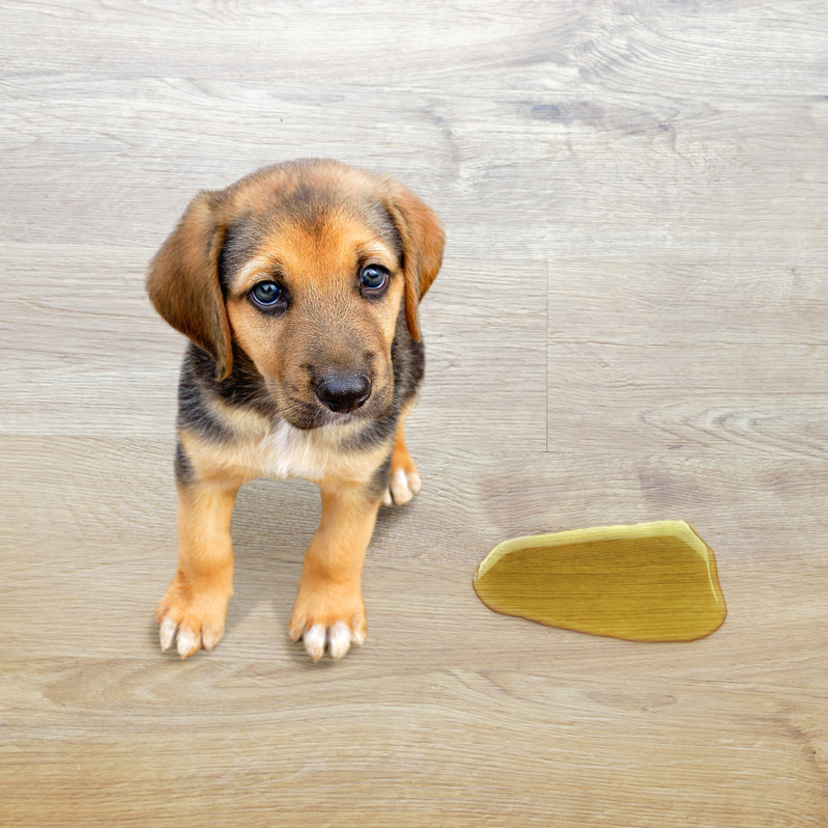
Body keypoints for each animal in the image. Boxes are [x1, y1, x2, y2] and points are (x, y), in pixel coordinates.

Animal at [146, 160, 444, 660]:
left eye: (373, 276)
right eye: (267, 291)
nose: (347, 396)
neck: (280, 418)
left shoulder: (354, 486)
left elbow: (336, 551)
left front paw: (328, 616)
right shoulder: (201, 469)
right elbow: (203, 548)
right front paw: (192, 610)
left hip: (410, 362)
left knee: (398, 411)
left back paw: (396, 467)